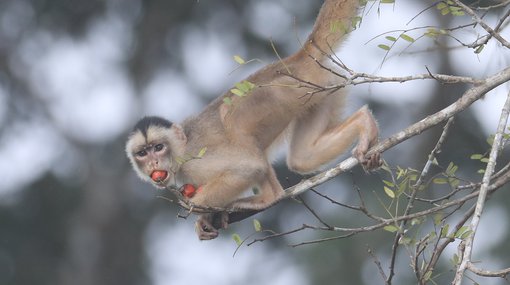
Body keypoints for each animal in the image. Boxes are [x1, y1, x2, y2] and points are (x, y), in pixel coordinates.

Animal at [125, 0, 380, 240]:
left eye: (158, 147)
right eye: (142, 153)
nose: (153, 163)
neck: (180, 148)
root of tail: (292, 62)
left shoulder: (193, 161)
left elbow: (248, 167)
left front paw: (199, 207)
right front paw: (207, 218)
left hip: (283, 91)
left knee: (232, 120)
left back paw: (269, 196)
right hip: (322, 88)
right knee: (302, 159)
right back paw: (363, 121)